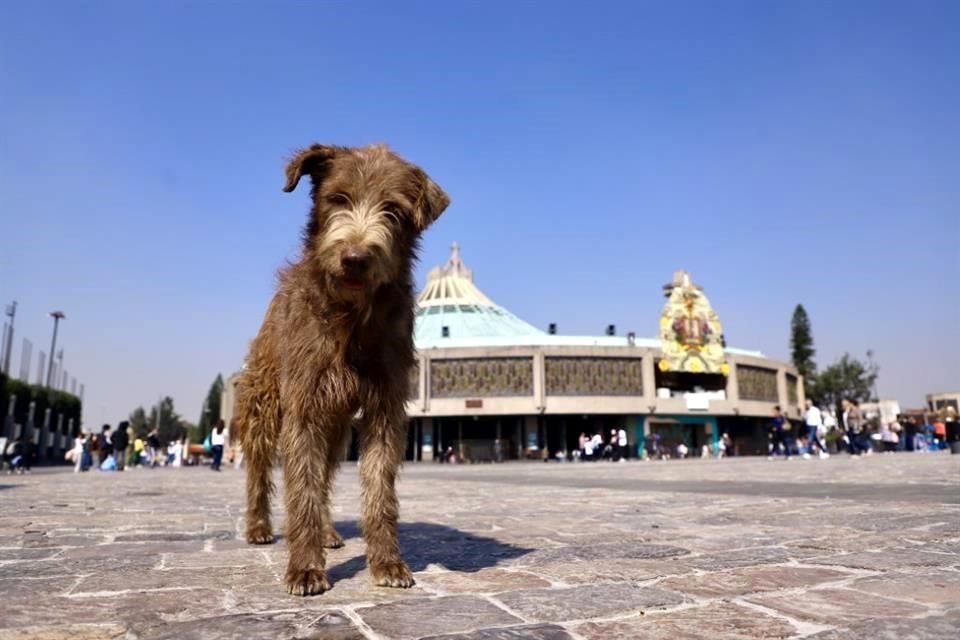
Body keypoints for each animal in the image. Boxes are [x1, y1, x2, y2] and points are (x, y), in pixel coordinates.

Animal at [236, 144, 454, 596]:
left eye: (393, 210)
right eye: (338, 198)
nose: (355, 258)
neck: (351, 317)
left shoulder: (385, 404)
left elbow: (377, 487)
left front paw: (387, 561)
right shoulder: (303, 403)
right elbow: (300, 486)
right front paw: (304, 568)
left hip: (336, 428)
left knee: (323, 474)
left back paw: (327, 531)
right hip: (264, 400)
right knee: (261, 468)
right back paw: (259, 526)